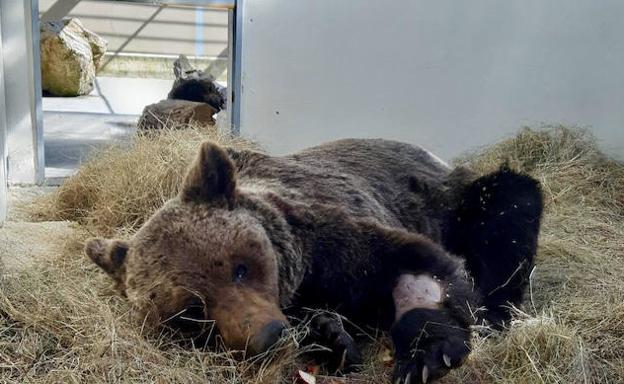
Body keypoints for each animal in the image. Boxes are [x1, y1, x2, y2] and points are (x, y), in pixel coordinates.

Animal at [84, 139, 540, 384]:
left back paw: (498, 312)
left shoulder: (336, 238)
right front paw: (329, 337)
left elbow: (415, 267)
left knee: (509, 210)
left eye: (240, 267)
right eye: (191, 313)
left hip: (462, 200)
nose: (266, 335)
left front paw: (427, 356)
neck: (301, 279)